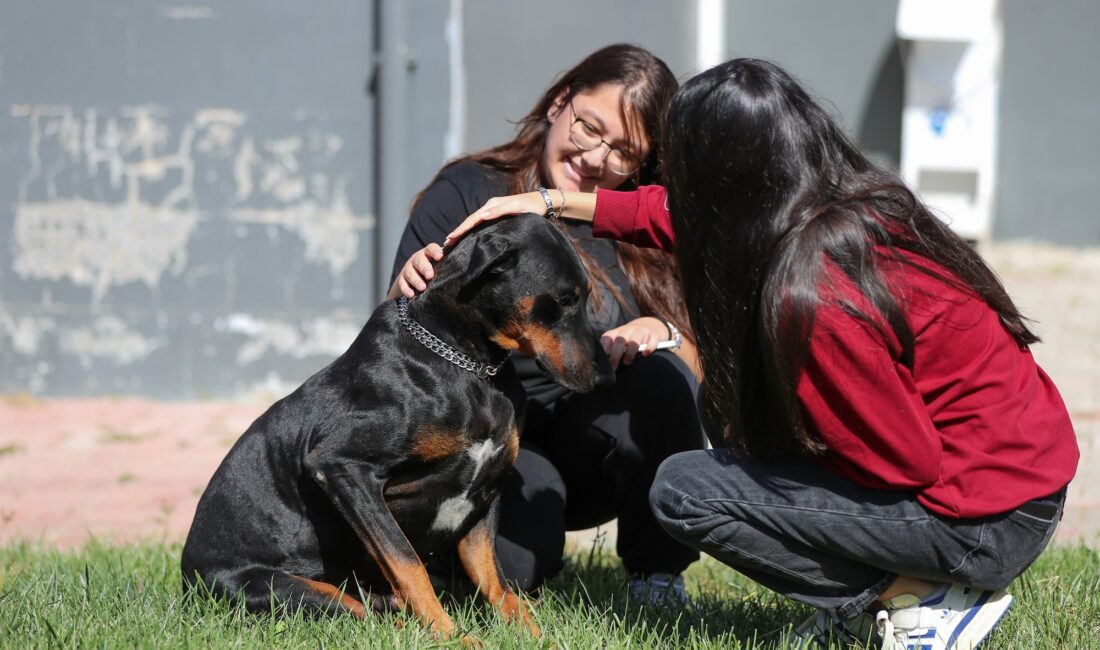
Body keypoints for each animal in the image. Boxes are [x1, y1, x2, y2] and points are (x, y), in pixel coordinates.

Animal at [180, 216, 611, 642]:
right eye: (566, 298)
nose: (605, 377)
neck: (469, 364)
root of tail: (187, 581)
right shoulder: (342, 468)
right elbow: (406, 562)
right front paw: (451, 637)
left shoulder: (486, 490)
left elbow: (494, 577)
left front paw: (532, 633)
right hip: (284, 587)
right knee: (360, 613)